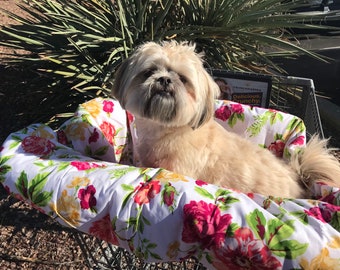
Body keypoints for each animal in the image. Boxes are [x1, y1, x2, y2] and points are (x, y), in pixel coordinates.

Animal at [111, 41, 340, 198]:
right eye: (149, 72)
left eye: (183, 79)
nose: (165, 80)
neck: (168, 130)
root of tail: (298, 177)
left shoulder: (177, 171)